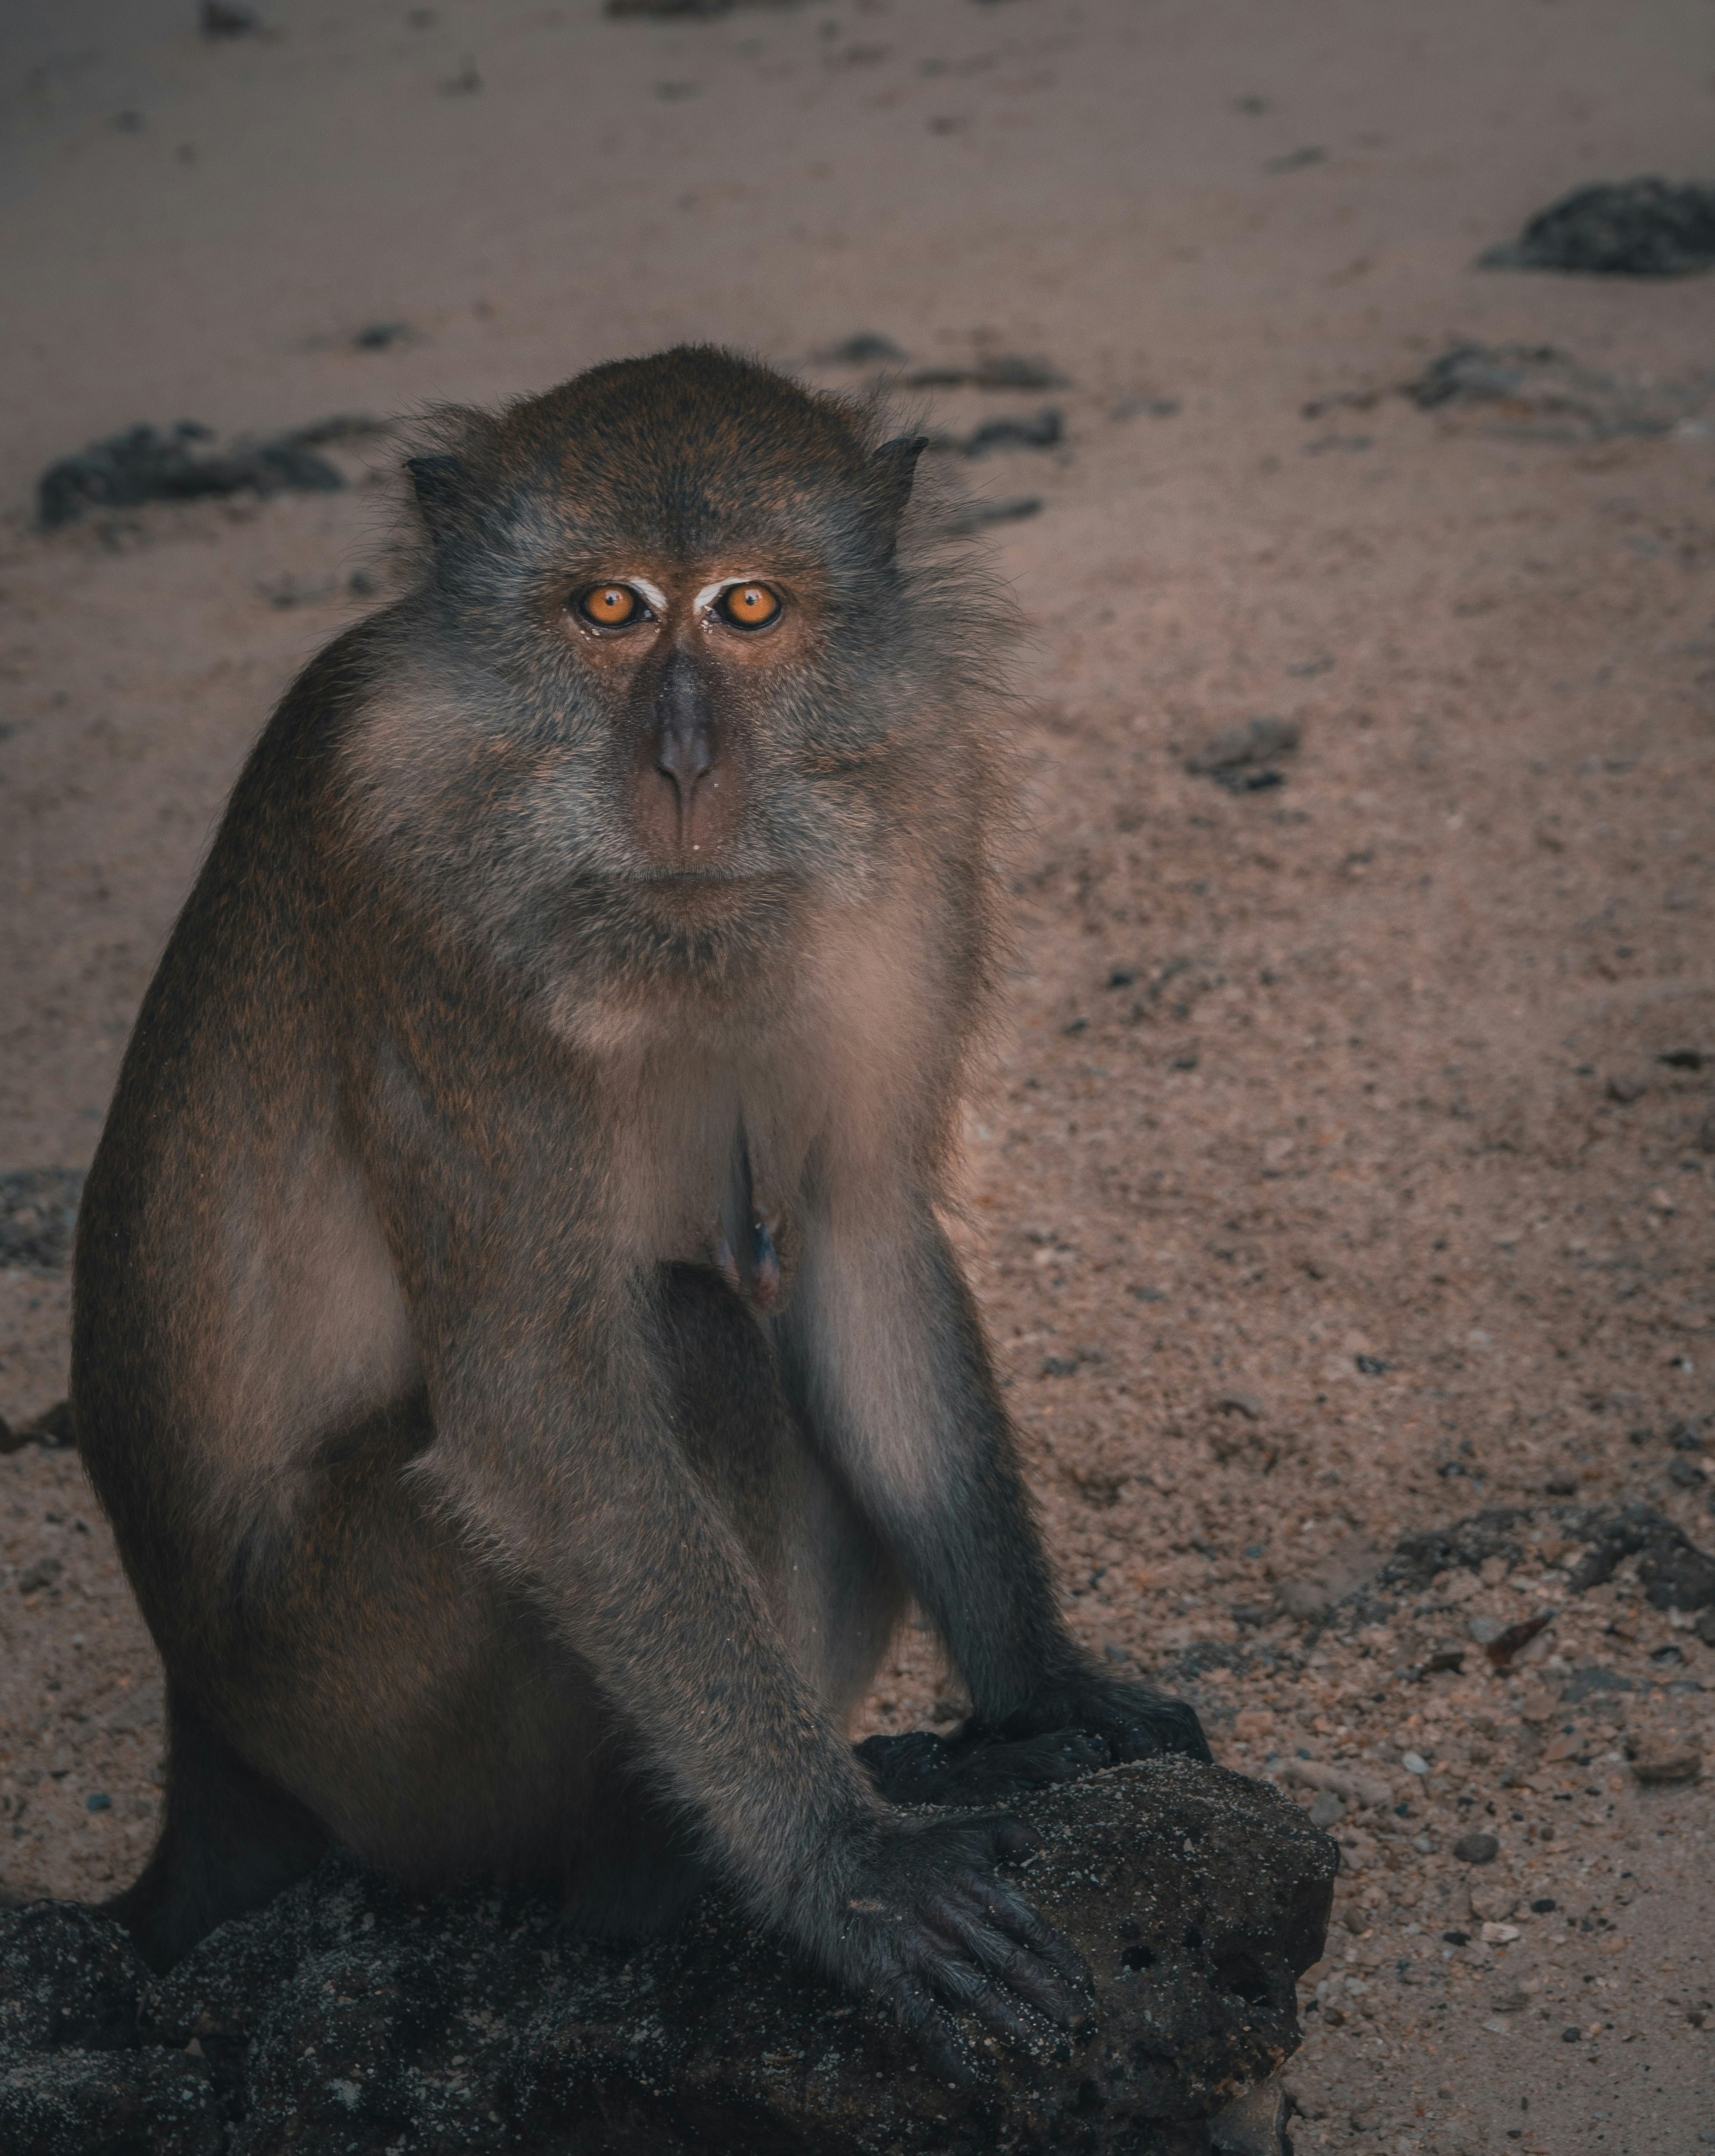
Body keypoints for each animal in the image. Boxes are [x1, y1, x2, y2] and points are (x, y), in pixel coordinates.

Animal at [71, 346, 1209, 2079]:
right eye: (606, 609)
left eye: (745, 609)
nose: (681, 761)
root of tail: (204, 1735)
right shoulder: (428, 911)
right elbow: (542, 1399)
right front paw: (844, 1863)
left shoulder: (913, 826)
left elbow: (859, 1242)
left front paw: (1040, 1696)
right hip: (363, 1705)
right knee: (687, 1335)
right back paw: (652, 1889)